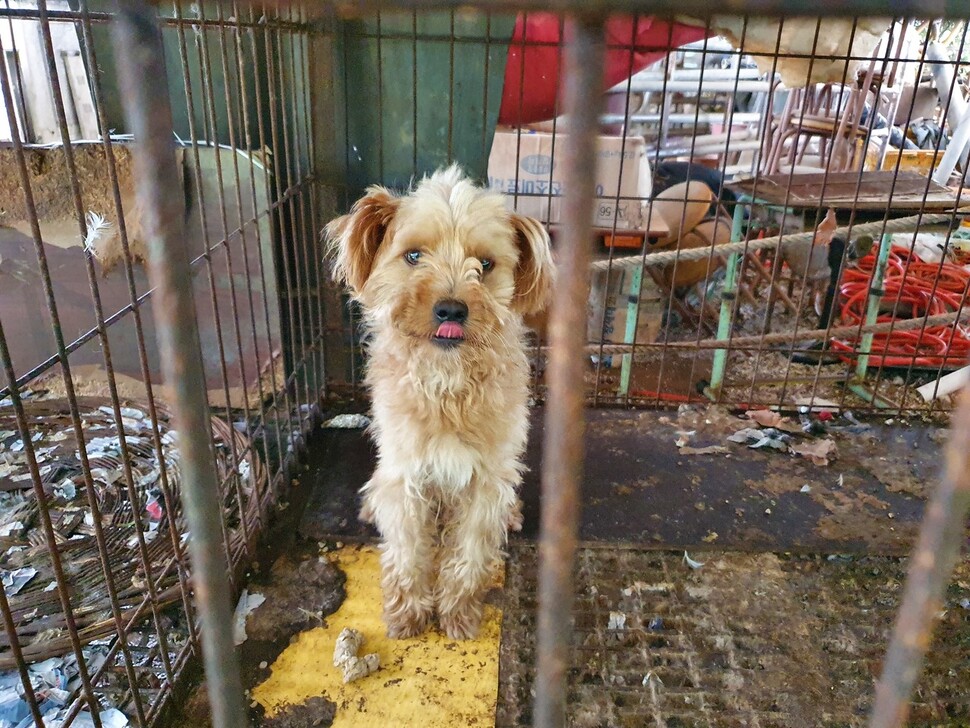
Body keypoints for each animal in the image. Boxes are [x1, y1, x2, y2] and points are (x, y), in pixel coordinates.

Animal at [326, 165, 552, 636]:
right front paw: (408, 613)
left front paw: (459, 612)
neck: (448, 382)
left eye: (485, 264)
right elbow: (408, 548)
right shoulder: (405, 472)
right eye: (413, 256)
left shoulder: (487, 480)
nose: (451, 309)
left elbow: (470, 551)